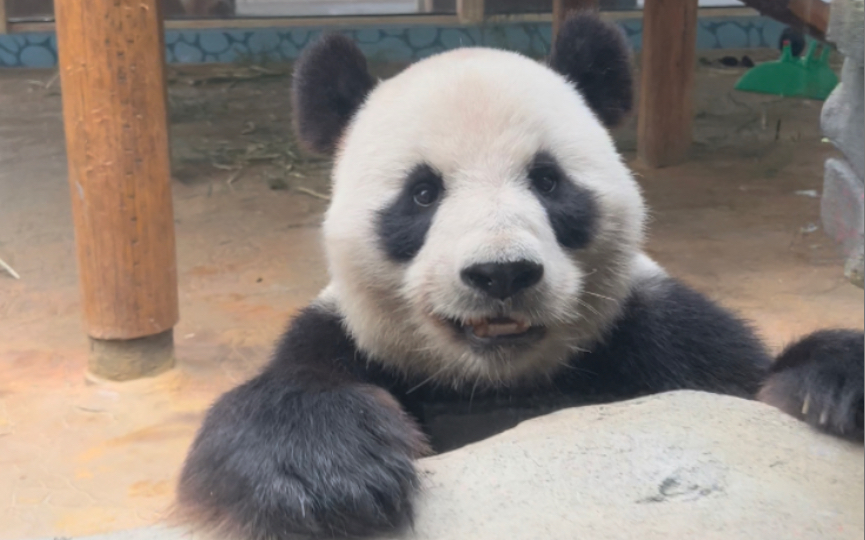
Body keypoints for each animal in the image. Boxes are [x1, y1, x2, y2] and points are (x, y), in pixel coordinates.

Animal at [172, 12, 860, 540]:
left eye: (549, 181)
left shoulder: (656, 331)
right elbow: (284, 401)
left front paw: (828, 384)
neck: (495, 383)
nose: (500, 273)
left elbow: (748, 379)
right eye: (422, 193)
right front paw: (328, 477)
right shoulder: (347, 341)